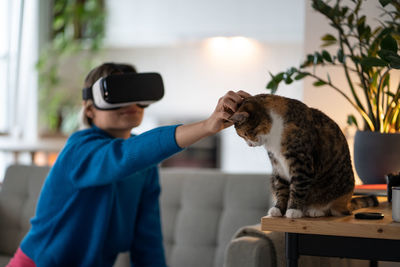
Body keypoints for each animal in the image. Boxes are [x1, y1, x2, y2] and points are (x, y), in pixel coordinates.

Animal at [230, 93, 376, 218]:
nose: (249, 145)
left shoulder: (301, 162)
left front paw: (293, 210)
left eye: (244, 134)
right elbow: (281, 188)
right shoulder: (277, 165)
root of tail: (347, 203)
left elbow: (298, 187)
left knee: (332, 208)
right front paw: (279, 209)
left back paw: (315, 210)